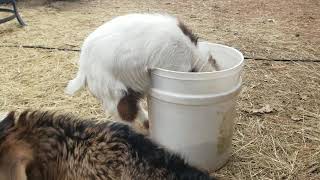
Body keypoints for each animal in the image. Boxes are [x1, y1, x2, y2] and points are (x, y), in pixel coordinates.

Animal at [65, 13, 215, 128]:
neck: (192, 54)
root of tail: (83, 67)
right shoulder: (176, 66)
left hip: (129, 91)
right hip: (117, 93)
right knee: (125, 115)